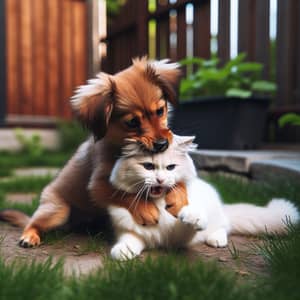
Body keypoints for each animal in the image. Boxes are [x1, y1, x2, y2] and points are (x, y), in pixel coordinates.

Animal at [0, 57, 188, 247]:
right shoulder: (97, 186)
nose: (162, 144)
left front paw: (179, 198)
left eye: (160, 111)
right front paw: (145, 209)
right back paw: (29, 236)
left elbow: (178, 180)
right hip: (57, 210)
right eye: (132, 122)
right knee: (33, 222)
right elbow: (121, 192)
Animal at [108, 135, 300, 260]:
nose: (160, 180)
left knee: (224, 227)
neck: (158, 204)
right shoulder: (130, 229)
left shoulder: (180, 237)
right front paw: (122, 252)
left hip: (217, 216)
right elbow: (129, 239)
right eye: (148, 166)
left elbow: (188, 223)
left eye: (171, 167)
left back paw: (216, 239)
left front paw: (192, 217)